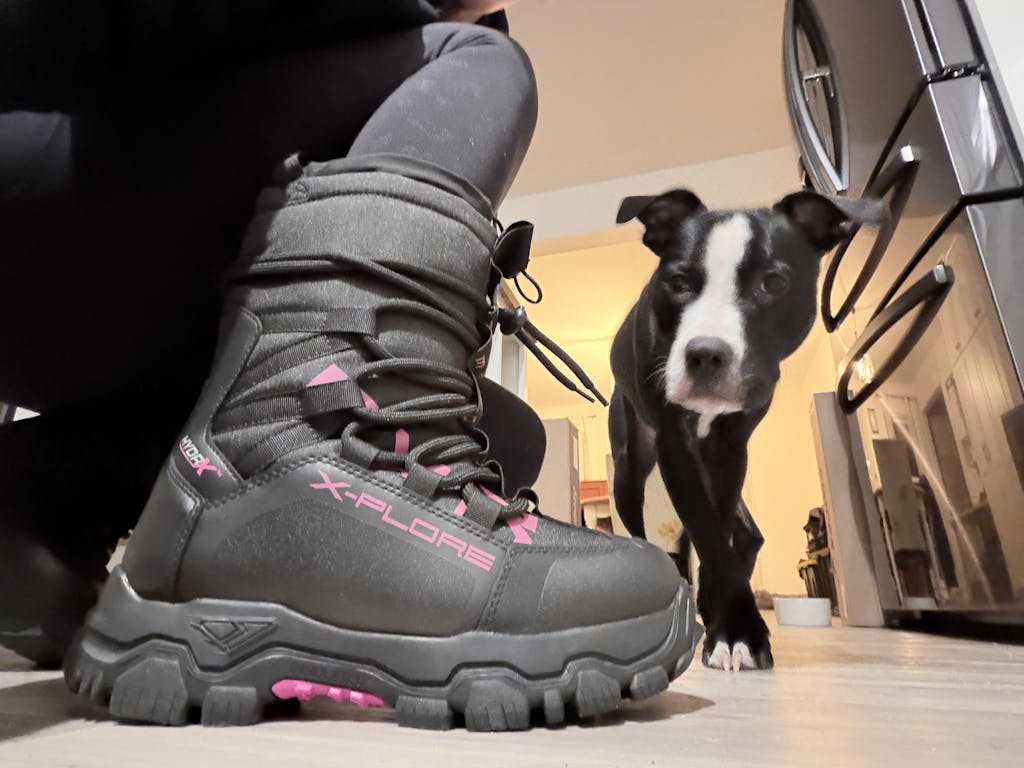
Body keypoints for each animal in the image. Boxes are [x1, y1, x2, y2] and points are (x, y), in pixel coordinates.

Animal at [609, 188, 881, 671]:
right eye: (678, 281)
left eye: (773, 283)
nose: (705, 354)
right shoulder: (675, 447)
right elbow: (710, 536)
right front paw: (736, 630)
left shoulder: (729, 447)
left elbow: (715, 534)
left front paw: (725, 619)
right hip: (628, 467)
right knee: (641, 523)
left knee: (744, 533)